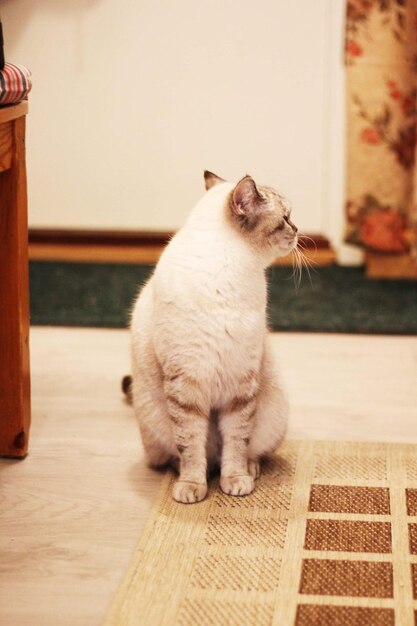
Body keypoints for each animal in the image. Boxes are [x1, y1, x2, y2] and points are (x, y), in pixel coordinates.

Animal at [126, 171, 296, 502]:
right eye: (286, 217)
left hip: (274, 410)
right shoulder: (186, 384)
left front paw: (237, 480)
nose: (297, 230)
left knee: (246, 452)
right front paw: (192, 487)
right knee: (180, 456)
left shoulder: (241, 385)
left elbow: (237, 442)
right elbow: (191, 445)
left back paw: (249, 470)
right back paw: (186, 474)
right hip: (153, 418)